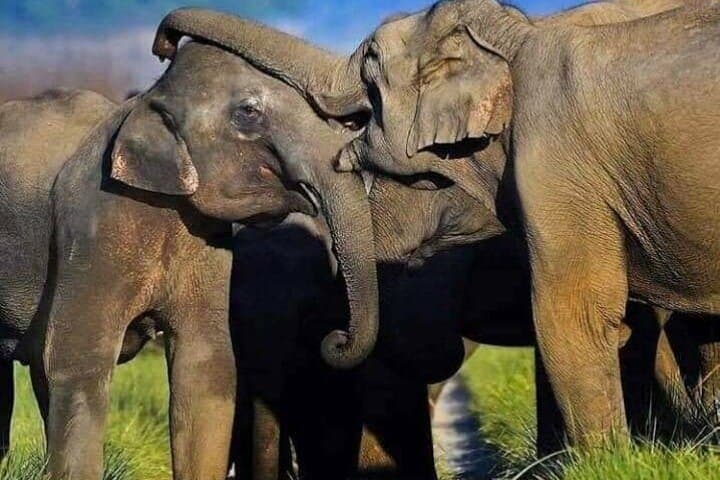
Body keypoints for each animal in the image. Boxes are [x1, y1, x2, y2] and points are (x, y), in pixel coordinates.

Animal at [0, 39, 380, 479]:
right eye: (249, 111)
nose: (335, 339)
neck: (147, 101)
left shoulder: (205, 239)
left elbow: (204, 367)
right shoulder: (93, 221)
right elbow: (77, 358)